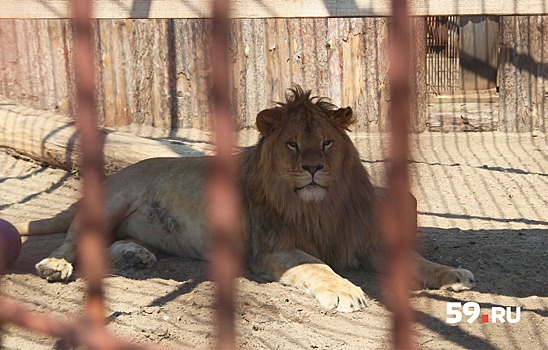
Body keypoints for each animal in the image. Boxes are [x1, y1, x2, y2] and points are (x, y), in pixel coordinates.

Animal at [18, 86, 476, 314]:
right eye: (292, 145)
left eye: (327, 143)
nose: (313, 168)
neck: (318, 206)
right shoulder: (273, 250)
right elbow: (319, 267)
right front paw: (345, 292)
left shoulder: (360, 240)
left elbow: (417, 262)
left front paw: (452, 275)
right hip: (112, 200)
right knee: (72, 242)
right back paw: (55, 265)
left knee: (108, 242)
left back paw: (137, 257)